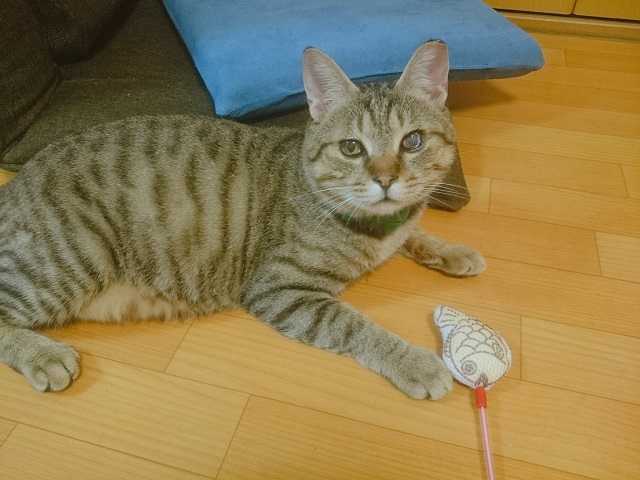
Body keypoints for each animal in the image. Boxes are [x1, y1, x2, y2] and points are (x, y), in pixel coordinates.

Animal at [0, 41, 485, 399]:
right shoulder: (281, 288)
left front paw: (451, 250)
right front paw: (413, 361)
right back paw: (43, 355)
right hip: (72, 258)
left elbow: (415, 232)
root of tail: (13, 187)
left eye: (413, 141)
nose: (385, 179)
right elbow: (355, 326)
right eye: (351, 148)